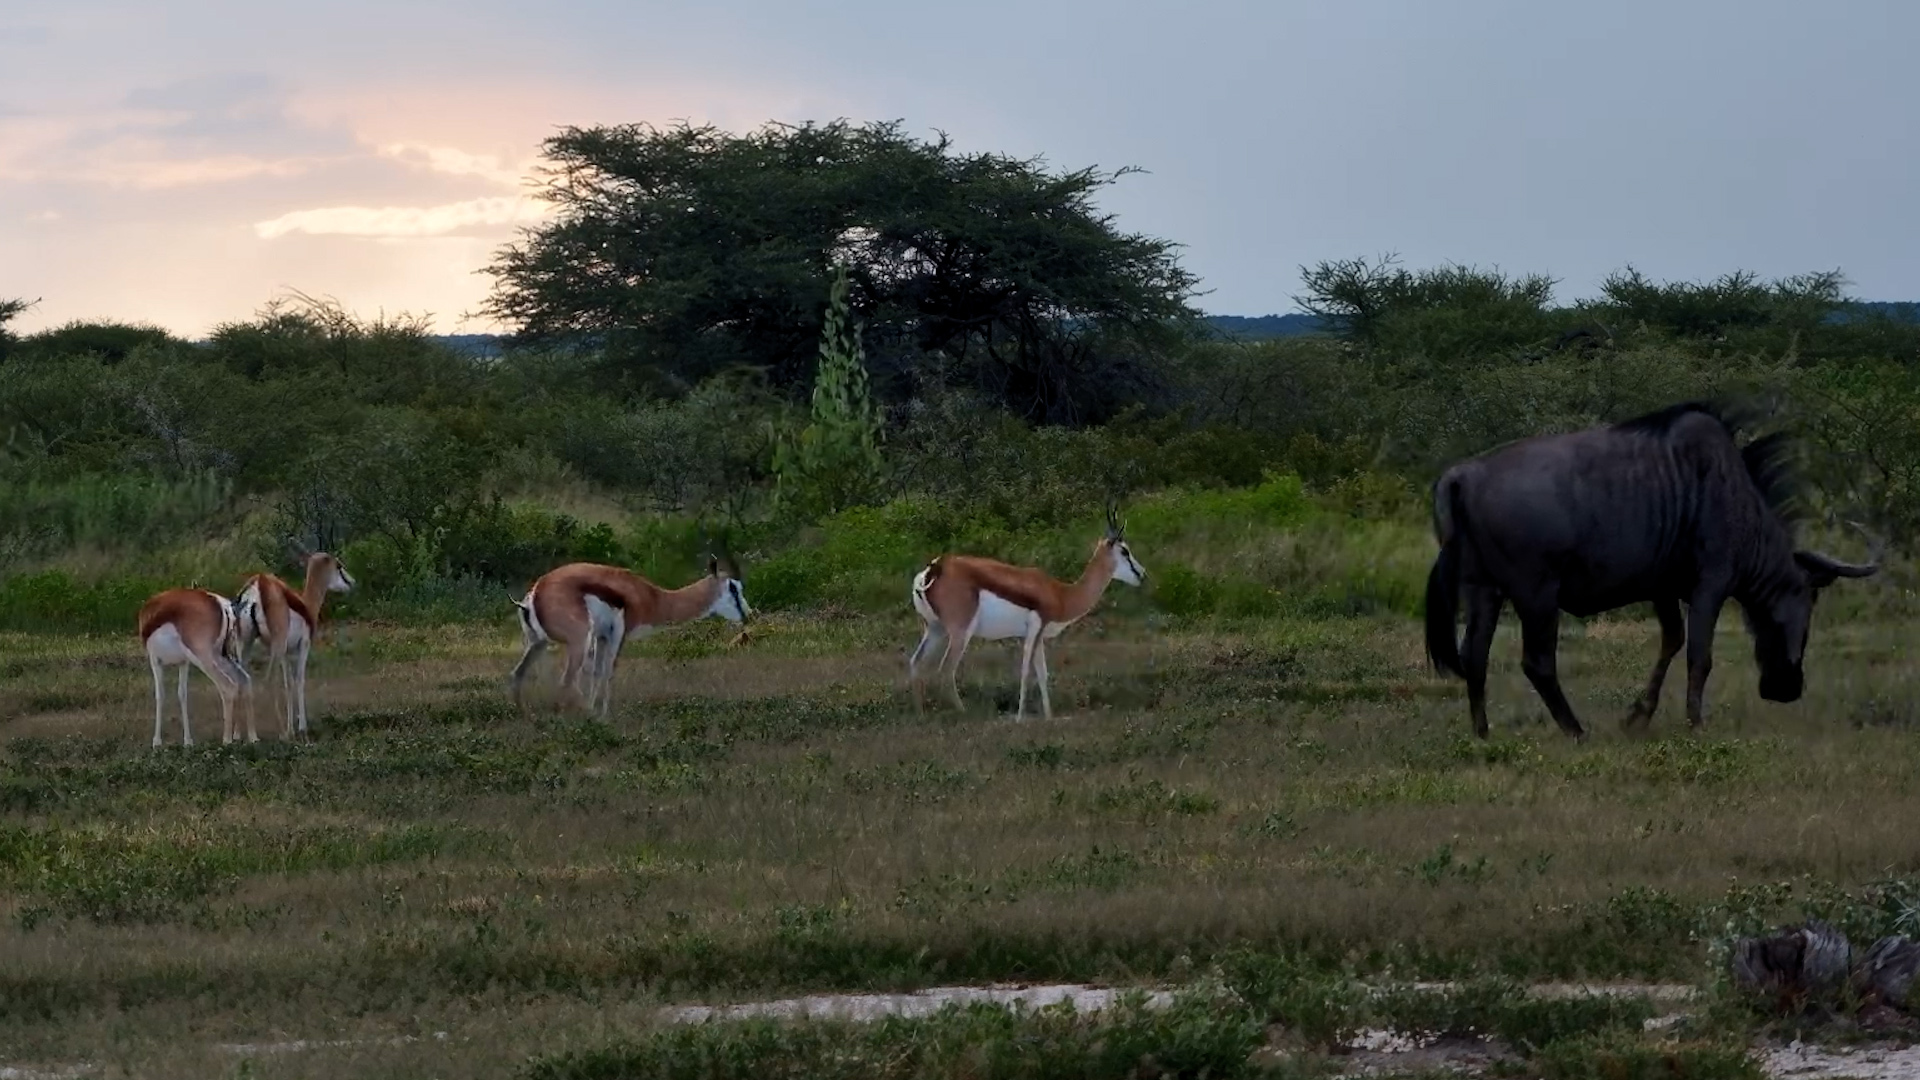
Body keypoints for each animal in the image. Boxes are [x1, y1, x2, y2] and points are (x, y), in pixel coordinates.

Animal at [137, 588, 253, 748]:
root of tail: (220, 604)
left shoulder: (155, 661)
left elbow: (160, 695)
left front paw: (157, 742)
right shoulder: (183, 663)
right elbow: (182, 694)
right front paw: (188, 741)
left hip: (204, 658)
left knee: (228, 685)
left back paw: (227, 740)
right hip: (223, 656)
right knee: (244, 680)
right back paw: (251, 738)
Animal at [233, 548, 356, 742]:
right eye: (338, 566)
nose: (352, 583)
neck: (306, 605)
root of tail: (259, 583)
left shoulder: (285, 653)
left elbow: (288, 683)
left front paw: (292, 728)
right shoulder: (303, 646)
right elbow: (299, 680)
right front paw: (301, 728)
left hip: (245, 643)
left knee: (241, 678)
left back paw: (244, 736)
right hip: (274, 646)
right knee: (269, 679)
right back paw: (281, 733)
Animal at [509, 557, 751, 718]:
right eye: (733, 587)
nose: (747, 614)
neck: (650, 596)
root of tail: (537, 592)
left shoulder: (601, 636)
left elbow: (597, 673)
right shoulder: (617, 633)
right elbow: (608, 673)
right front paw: (604, 716)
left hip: (538, 643)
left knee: (517, 673)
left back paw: (527, 715)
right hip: (578, 641)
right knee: (566, 679)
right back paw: (585, 715)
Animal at [909, 502, 1147, 720]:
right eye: (1124, 551)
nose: (1142, 574)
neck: (1060, 593)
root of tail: (935, 568)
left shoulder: (1038, 636)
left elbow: (1042, 673)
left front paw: (1049, 716)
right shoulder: (1033, 630)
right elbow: (1025, 671)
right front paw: (1020, 717)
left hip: (935, 628)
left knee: (916, 662)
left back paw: (920, 715)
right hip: (960, 631)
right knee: (946, 668)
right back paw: (964, 713)